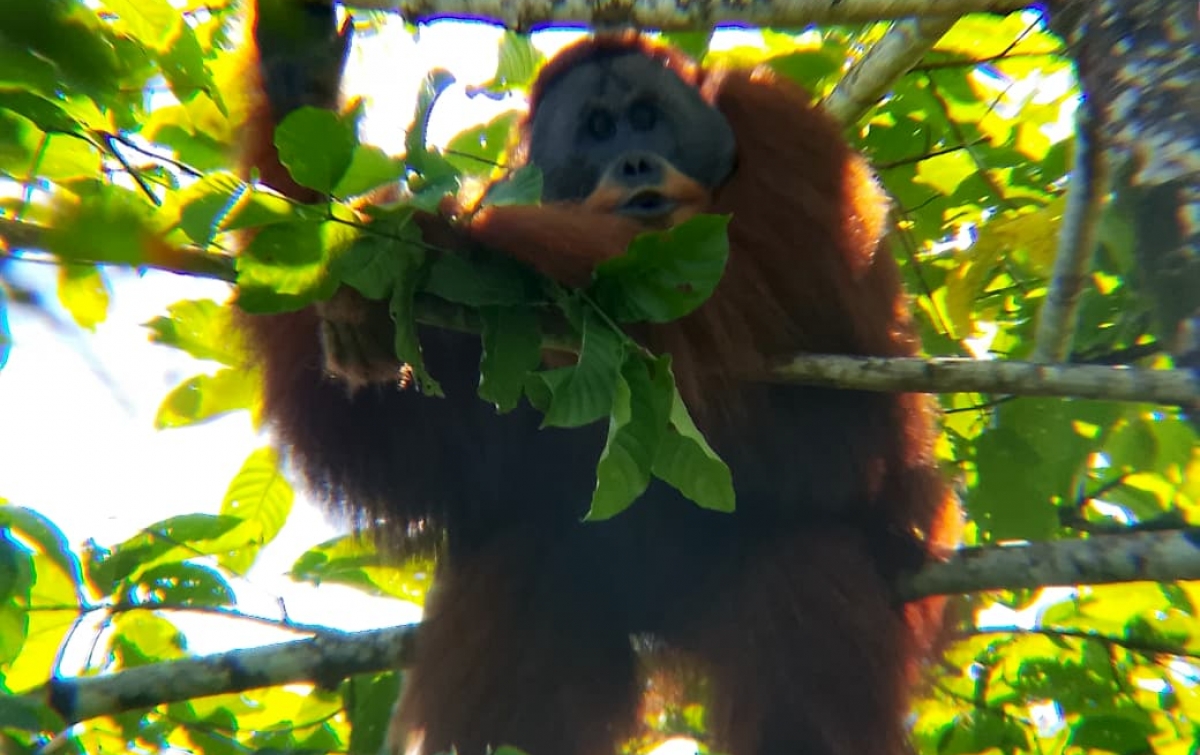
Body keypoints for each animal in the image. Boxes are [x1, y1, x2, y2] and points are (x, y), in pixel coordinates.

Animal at [237, 3, 960, 754]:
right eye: (599, 129)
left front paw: (432, 236)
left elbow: (747, 293)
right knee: (528, 562)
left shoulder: (787, 132)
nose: (636, 159)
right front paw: (297, 87)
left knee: (807, 562)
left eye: (647, 116)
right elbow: (395, 442)